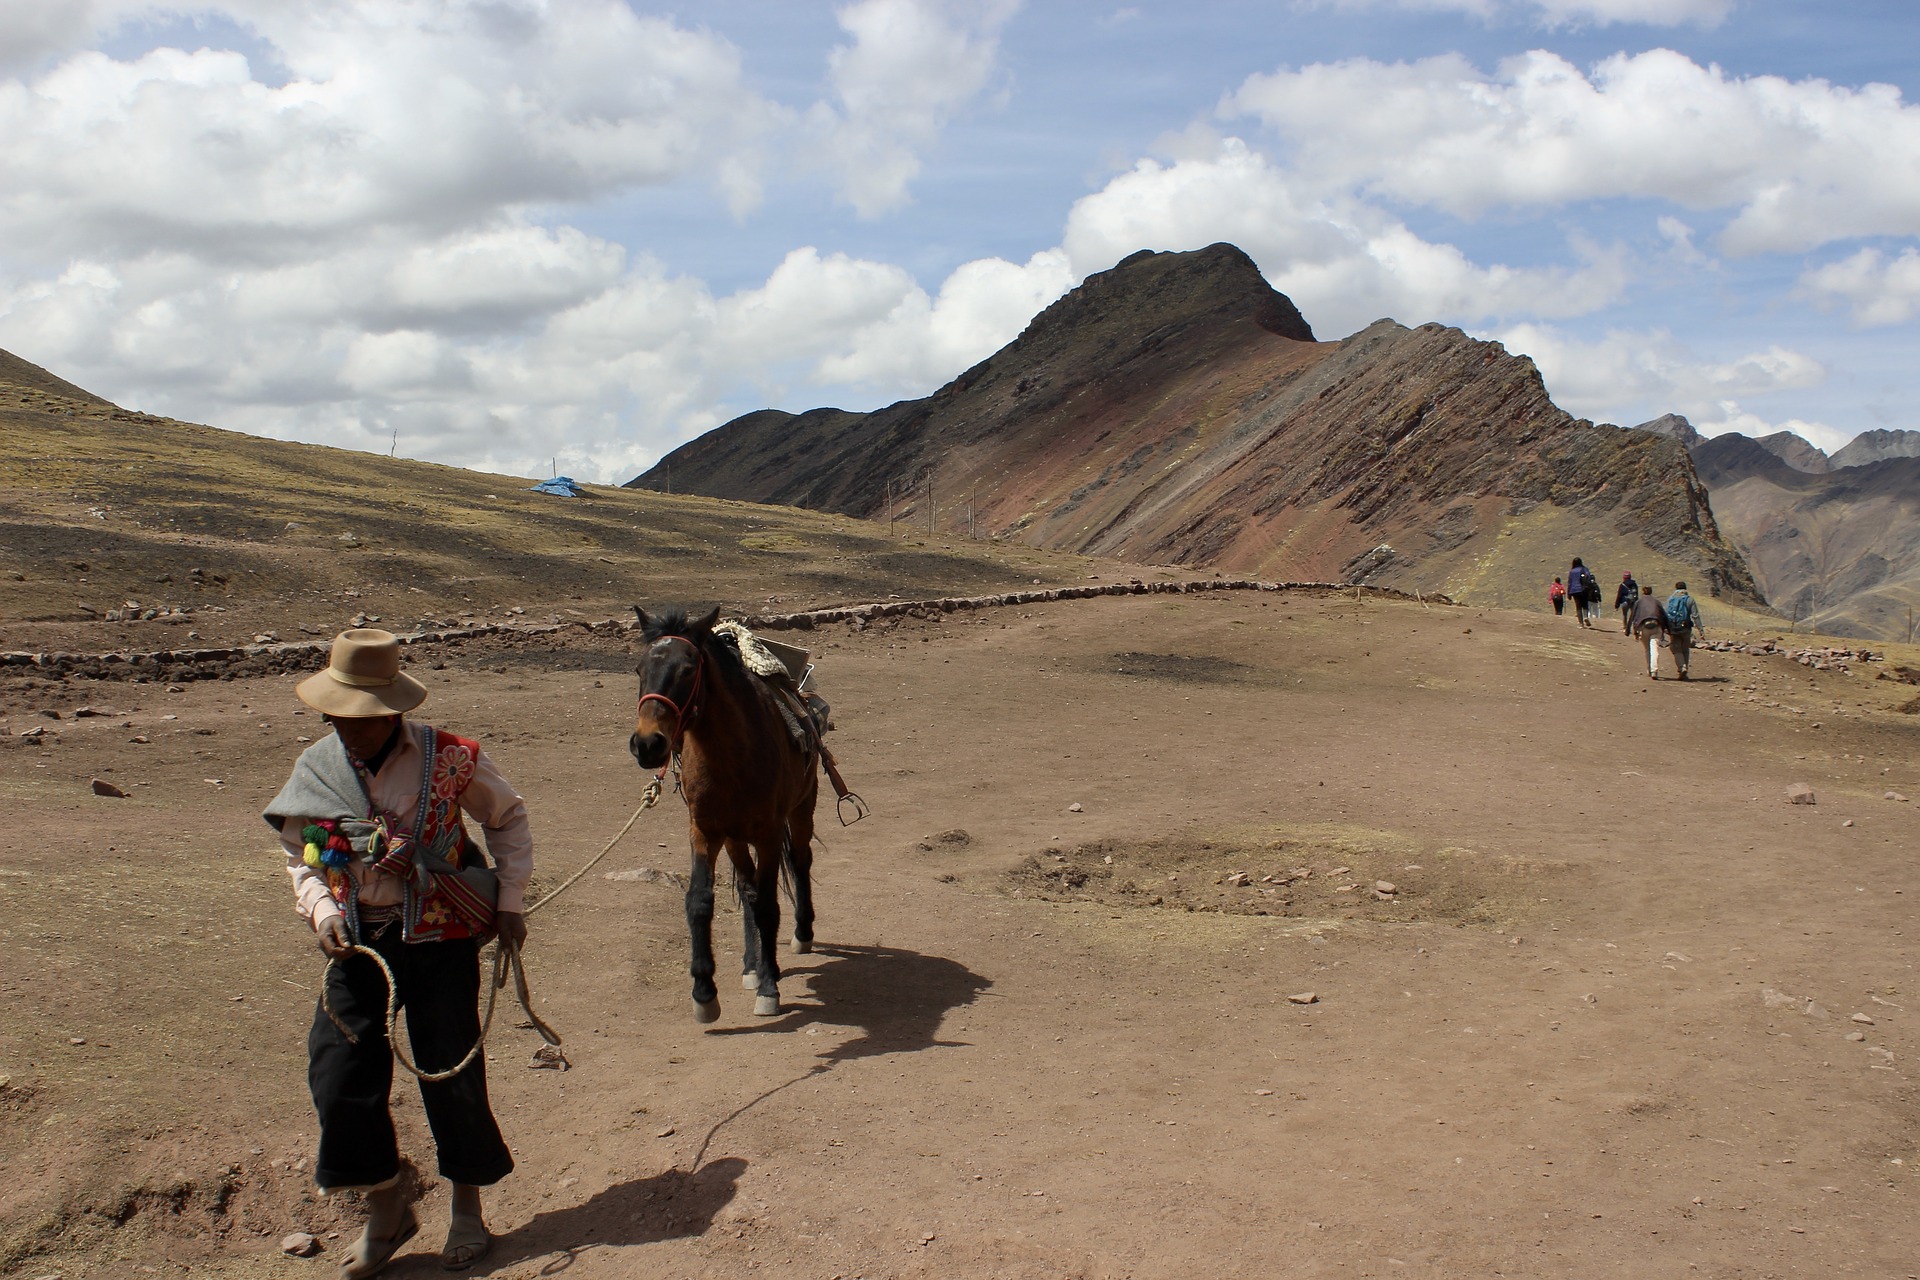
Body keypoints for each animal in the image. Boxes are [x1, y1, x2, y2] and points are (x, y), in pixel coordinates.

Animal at [625, 610, 814, 1020]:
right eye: (639, 669)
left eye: (687, 669)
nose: (647, 744)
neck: (732, 756)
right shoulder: (705, 832)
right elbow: (700, 901)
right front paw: (704, 991)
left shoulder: (769, 832)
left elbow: (769, 905)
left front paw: (770, 989)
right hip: (734, 838)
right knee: (747, 887)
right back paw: (751, 965)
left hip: (801, 809)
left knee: (800, 862)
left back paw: (800, 936)